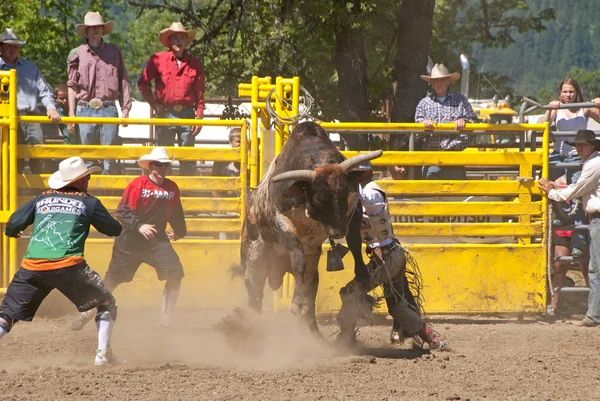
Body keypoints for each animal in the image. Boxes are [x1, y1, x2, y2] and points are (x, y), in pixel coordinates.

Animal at [238, 121, 380, 334]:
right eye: (318, 199)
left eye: (344, 193)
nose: (337, 232)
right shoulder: (281, 218)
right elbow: (298, 258)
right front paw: (295, 301)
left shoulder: (354, 207)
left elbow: (355, 243)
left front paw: (363, 276)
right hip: (254, 264)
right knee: (255, 299)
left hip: (312, 276)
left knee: (309, 305)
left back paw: (315, 337)